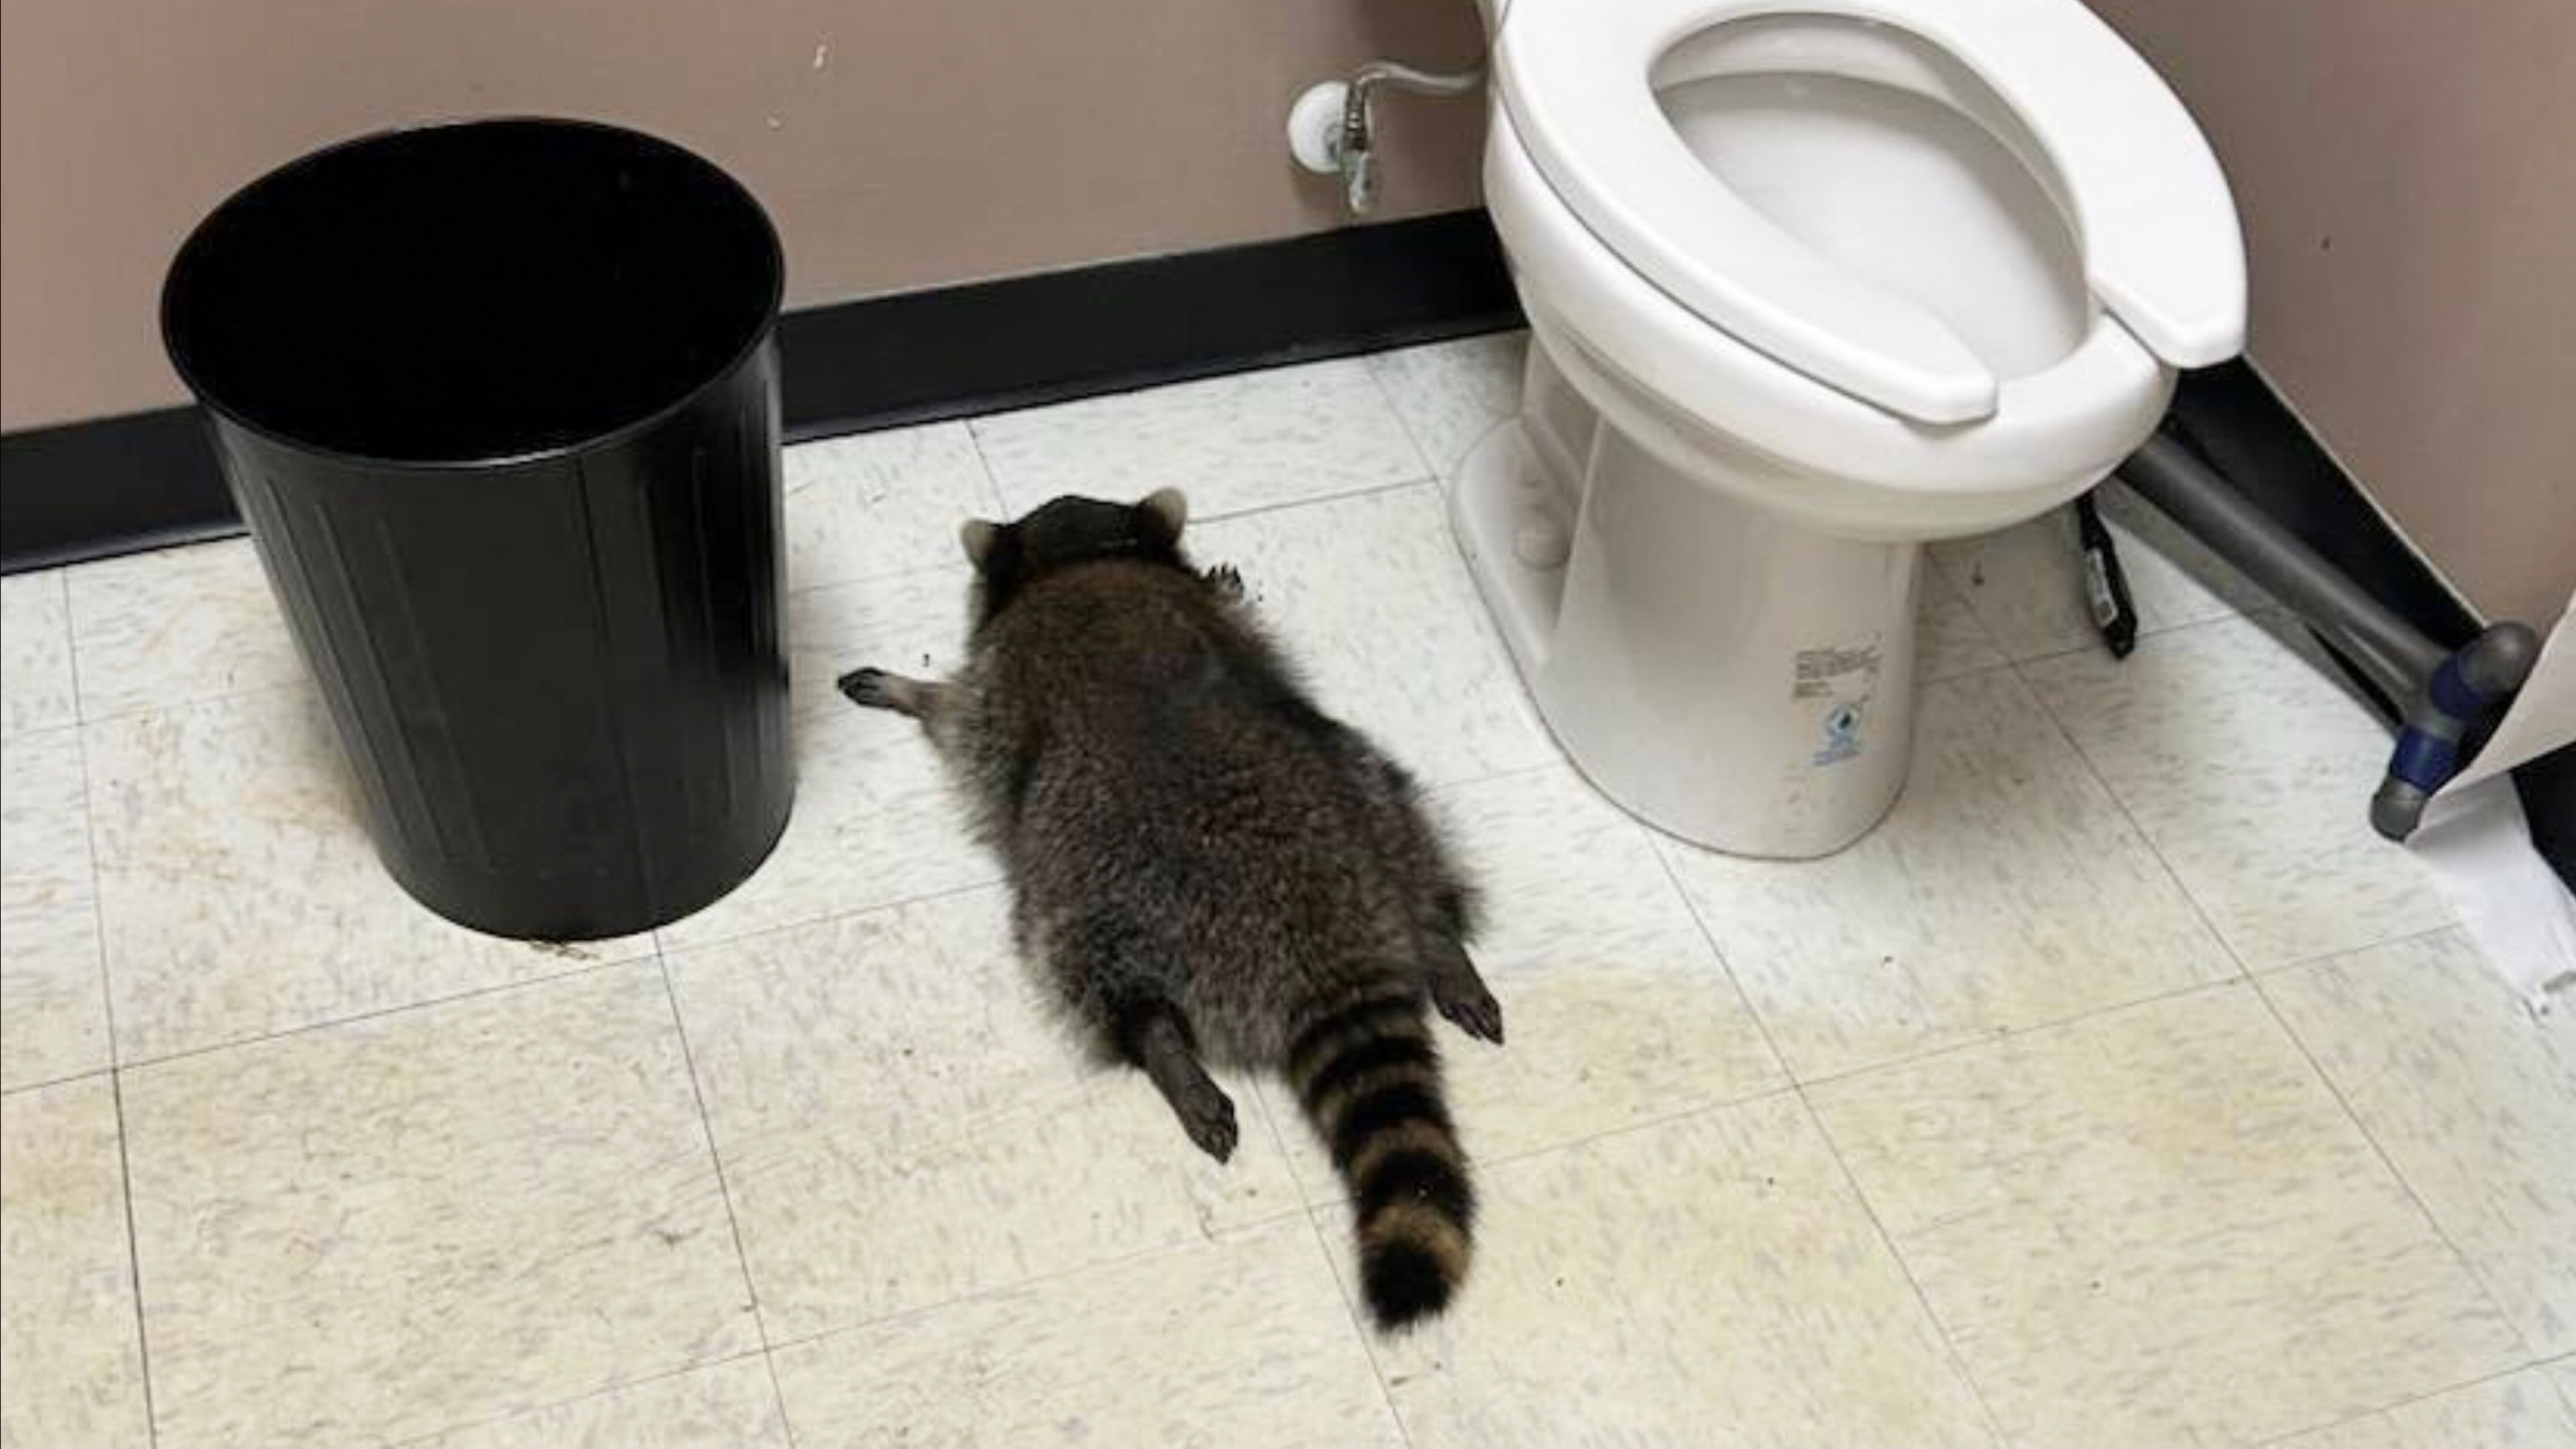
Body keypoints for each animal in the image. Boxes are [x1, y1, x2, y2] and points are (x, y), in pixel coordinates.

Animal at [837, 488, 1503, 1330]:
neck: (1085, 558)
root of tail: (1327, 936)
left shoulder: (997, 687)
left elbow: (957, 714)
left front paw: (910, 690)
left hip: (1096, 888)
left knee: (1086, 967)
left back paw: (1161, 1045)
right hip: (1368, 790)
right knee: (1409, 830)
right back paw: (1441, 938)